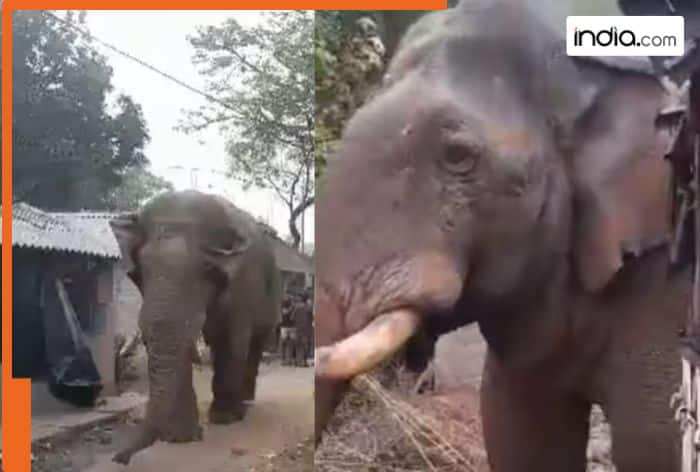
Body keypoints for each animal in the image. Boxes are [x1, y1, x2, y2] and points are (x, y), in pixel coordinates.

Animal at [109, 189, 281, 464]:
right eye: (143, 269)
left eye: (207, 269)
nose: (119, 459)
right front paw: (180, 437)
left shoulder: (243, 280)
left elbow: (231, 339)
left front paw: (224, 419)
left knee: (254, 344)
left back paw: (245, 404)